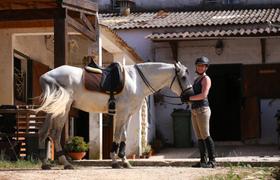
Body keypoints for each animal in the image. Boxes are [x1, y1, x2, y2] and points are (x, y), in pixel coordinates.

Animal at [34, 61, 192, 169]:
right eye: (183, 77)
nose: (189, 95)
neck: (136, 81)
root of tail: (46, 76)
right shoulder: (122, 114)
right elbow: (117, 136)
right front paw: (116, 161)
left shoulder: (128, 115)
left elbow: (123, 137)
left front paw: (124, 161)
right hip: (63, 110)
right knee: (54, 134)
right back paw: (66, 163)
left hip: (53, 110)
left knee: (43, 132)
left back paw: (45, 164)